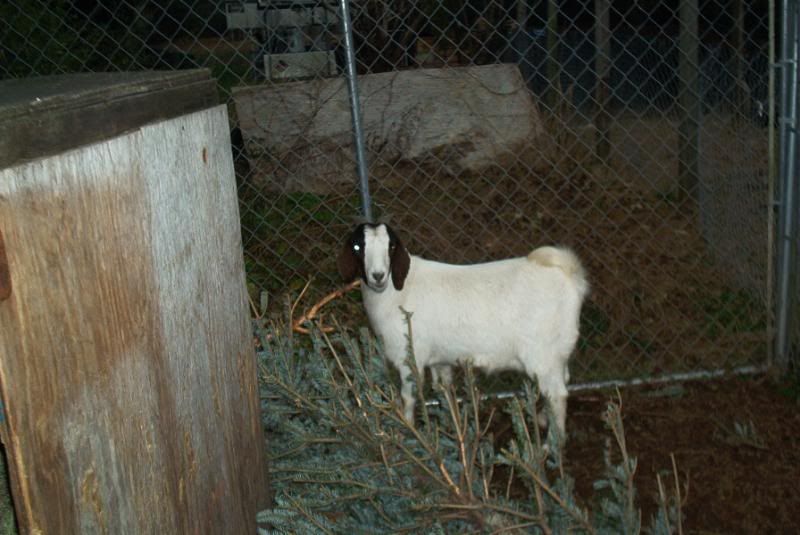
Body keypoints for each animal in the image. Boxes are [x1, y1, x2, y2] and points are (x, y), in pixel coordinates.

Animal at [337, 222, 589, 437]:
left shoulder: (410, 357)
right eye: (358, 247)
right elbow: (444, 390)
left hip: (542, 353)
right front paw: (453, 425)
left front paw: (409, 429)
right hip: (558, 350)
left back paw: (552, 444)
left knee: (557, 394)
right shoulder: (439, 359)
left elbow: (408, 397)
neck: (397, 292)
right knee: (561, 382)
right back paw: (544, 420)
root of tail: (569, 275)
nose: (378, 276)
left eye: (390, 247)